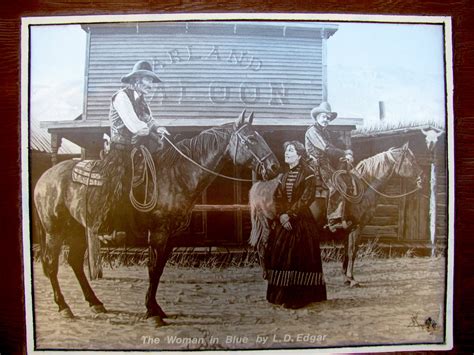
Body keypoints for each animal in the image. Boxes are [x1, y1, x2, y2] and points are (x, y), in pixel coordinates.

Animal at [35, 112, 280, 326]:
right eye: (251, 138)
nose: (274, 166)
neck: (175, 176)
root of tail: (44, 179)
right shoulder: (159, 233)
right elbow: (153, 269)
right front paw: (152, 313)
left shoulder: (170, 237)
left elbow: (159, 269)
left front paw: (156, 309)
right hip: (55, 231)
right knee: (51, 264)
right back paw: (64, 307)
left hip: (77, 229)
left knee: (75, 262)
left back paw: (95, 303)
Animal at [250, 143, 424, 288]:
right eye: (411, 160)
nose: (422, 178)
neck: (364, 185)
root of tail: (259, 185)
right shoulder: (357, 227)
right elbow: (353, 251)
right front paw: (352, 280)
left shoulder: (348, 229)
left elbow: (346, 252)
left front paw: (347, 278)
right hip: (268, 223)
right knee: (263, 246)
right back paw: (267, 275)